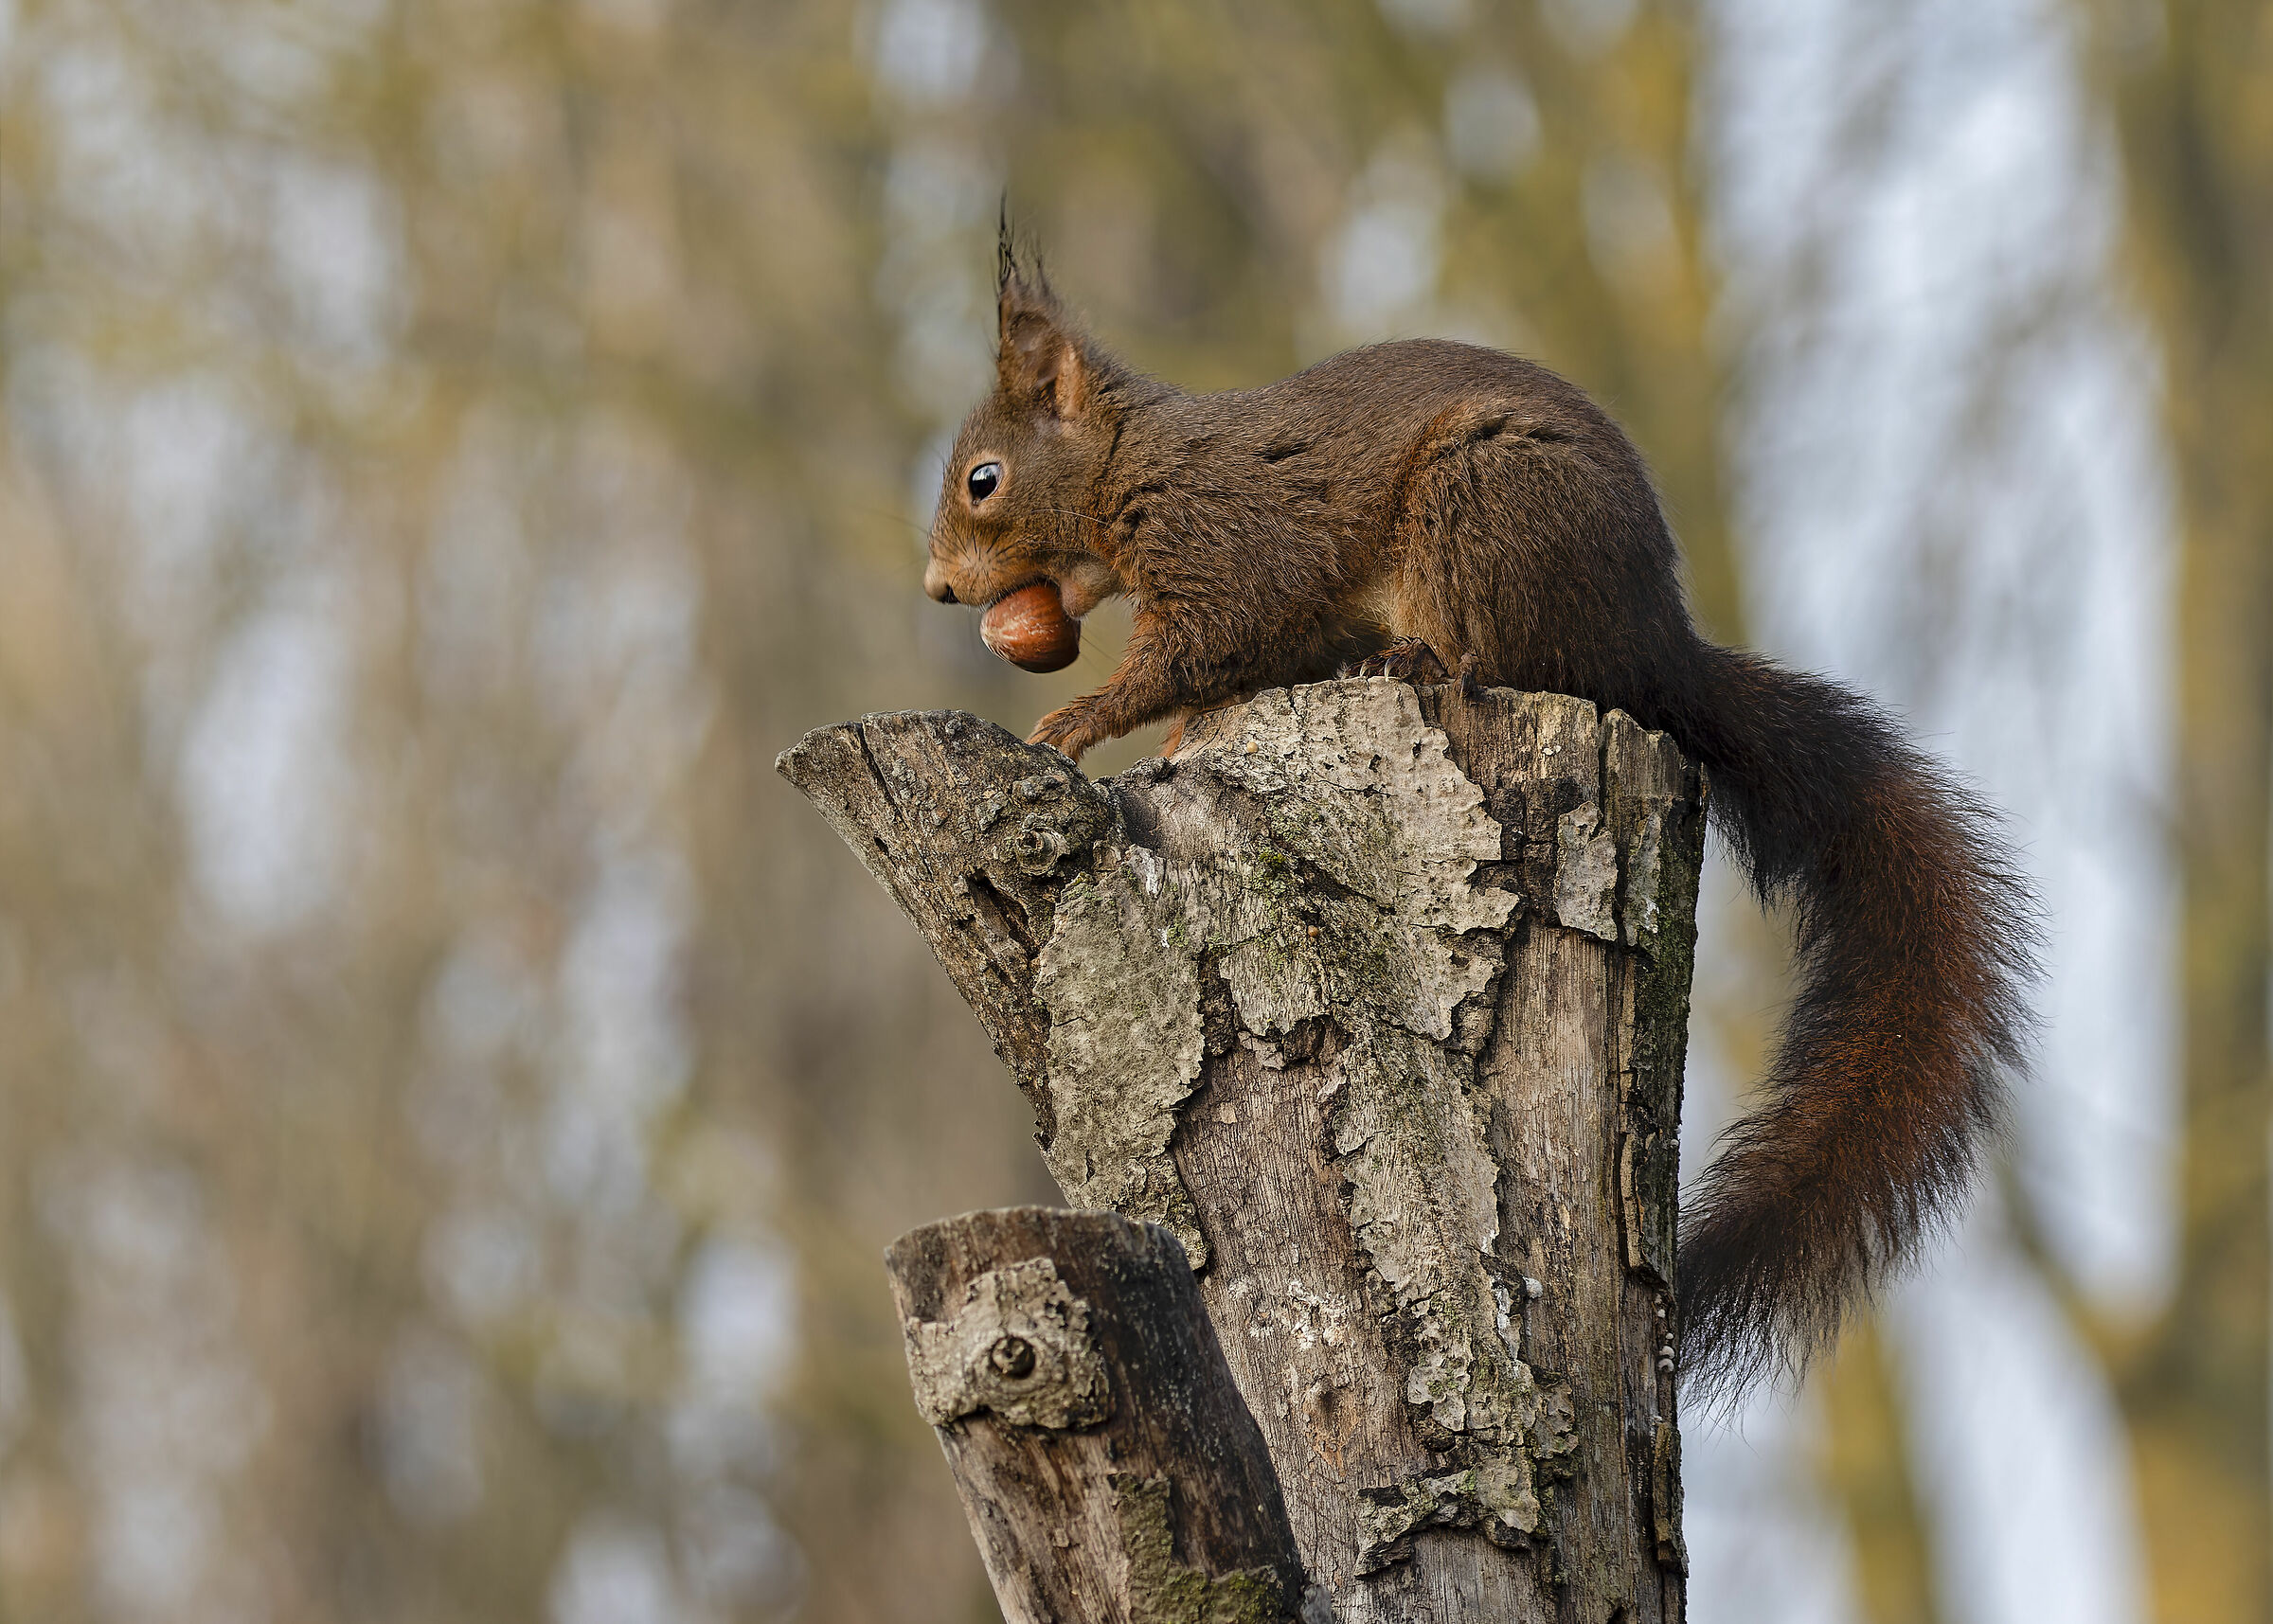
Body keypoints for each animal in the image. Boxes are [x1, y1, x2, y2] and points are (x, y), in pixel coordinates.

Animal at [922, 241, 2038, 1398]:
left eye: (983, 480)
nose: (938, 585)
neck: (1132, 462)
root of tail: (1656, 647)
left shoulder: (1232, 543)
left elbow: (1206, 640)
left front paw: (1082, 718)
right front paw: (1178, 731)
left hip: (1481, 512)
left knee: (1501, 656)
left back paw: (1421, 658)